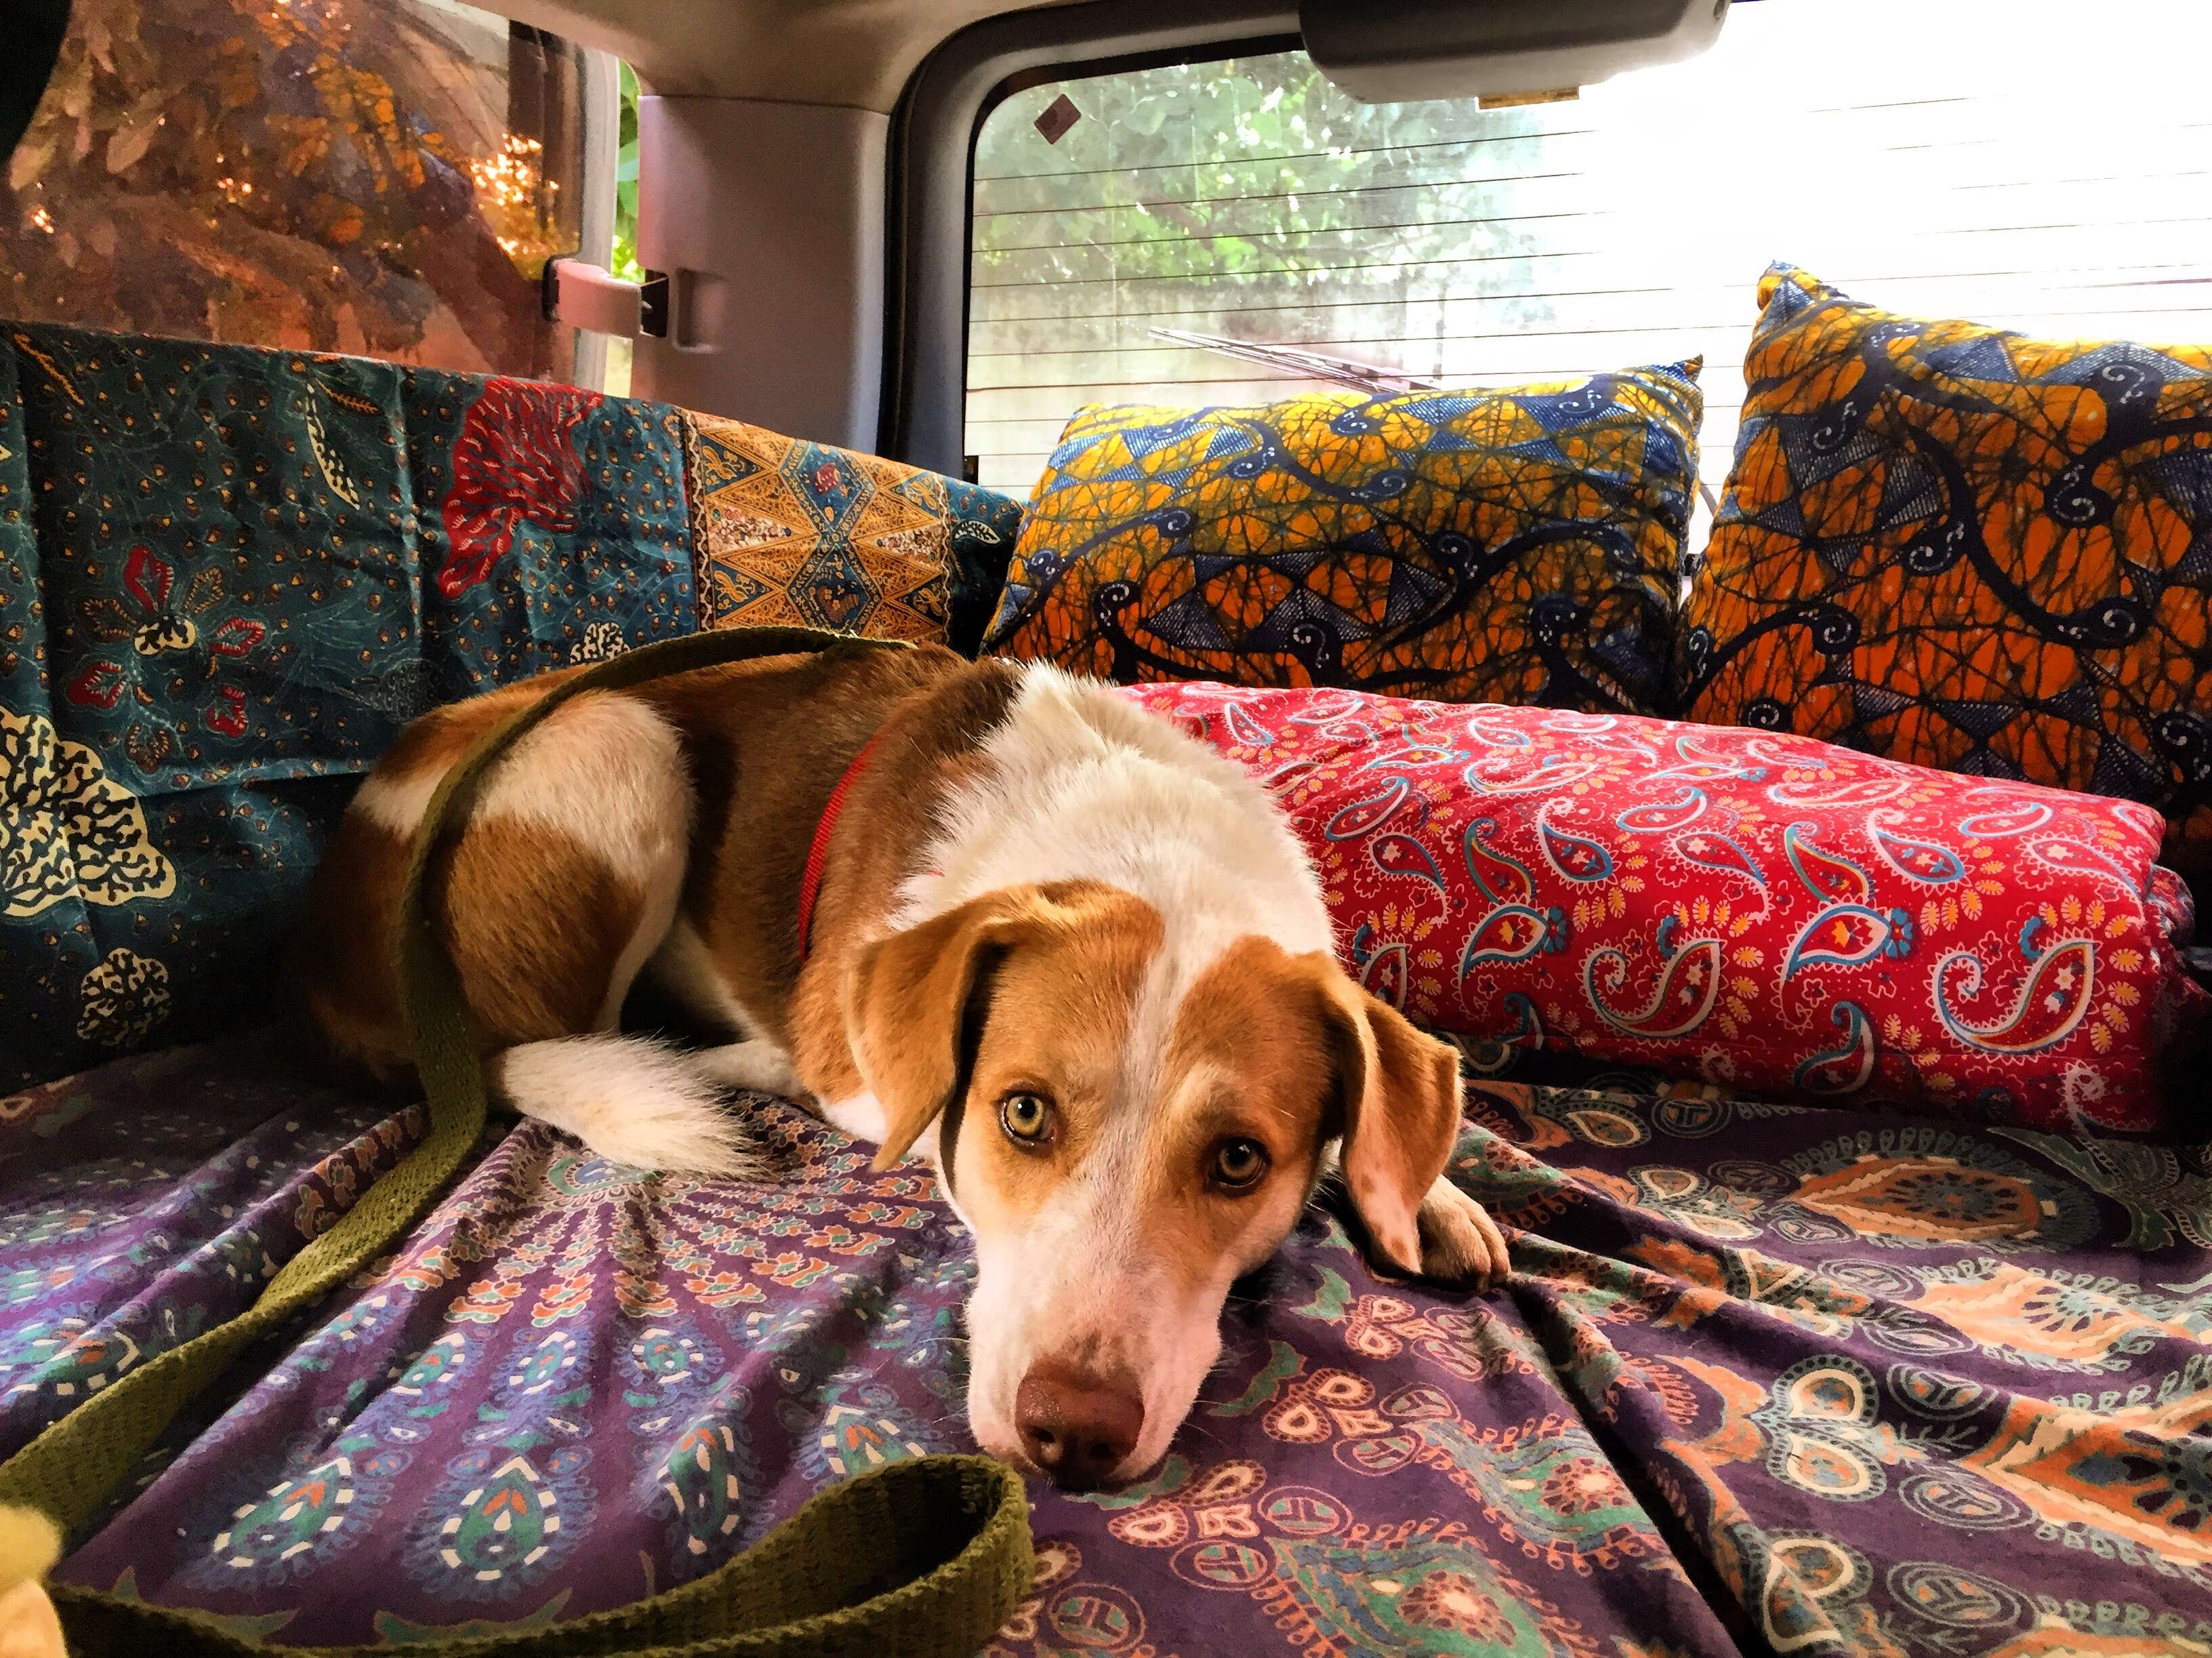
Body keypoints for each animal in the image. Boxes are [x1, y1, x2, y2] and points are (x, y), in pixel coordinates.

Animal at [298, 642, 1504, 1487]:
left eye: (1241, 1160)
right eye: (1023, 1114)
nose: (1071, 1435)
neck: (1147, 856)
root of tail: (329, 962)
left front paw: (1426, 1193)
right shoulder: (868, 1063)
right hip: (624, 746)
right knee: (561, 1038)